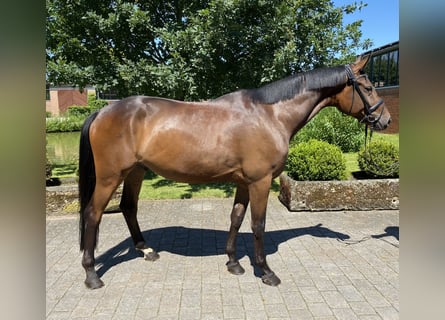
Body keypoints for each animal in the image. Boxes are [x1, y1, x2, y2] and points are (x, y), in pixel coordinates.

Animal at [79, 56, 388, 288]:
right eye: (368, 87)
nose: (385, 120)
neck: (270, 115)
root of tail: (102, 111)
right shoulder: (261, 181)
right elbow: (258, 225)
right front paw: (266, 272)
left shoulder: (243, 182)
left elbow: (236, 218)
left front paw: (233, 263)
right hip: (110, 177)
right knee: (93, 214)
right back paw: (92, 275)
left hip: (136, 172)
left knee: (128, 207)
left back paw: (145, 250)